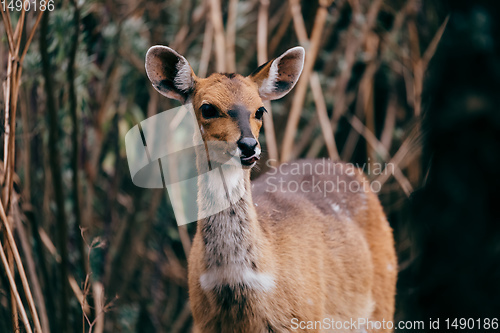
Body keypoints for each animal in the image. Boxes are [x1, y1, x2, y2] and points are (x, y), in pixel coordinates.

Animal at [144, 45, 394, 330]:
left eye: (260, 110)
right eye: (207, 108)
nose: (249, 146)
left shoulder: (307, 318)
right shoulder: (205, 322)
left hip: (383, 304)